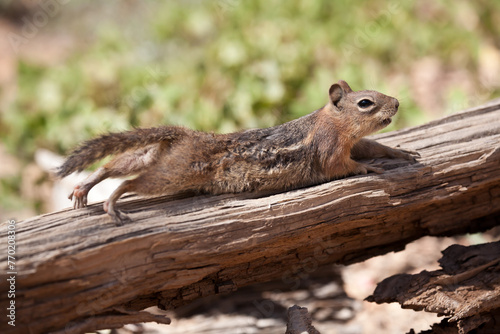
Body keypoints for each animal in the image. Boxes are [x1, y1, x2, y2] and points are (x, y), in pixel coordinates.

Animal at [57, 80, 418, 226]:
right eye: (366, 103)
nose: (398, 103)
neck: (332, 123)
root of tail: (185, 135)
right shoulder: (331, 150)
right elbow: (342, 166)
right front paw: (370, 170)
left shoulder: (356, 143)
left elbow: (374, 146)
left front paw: (401, 153)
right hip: (174, 173)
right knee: (131, 182)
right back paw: (112, 201)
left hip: (152, 155)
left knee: (113, 166)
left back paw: (84, 188)